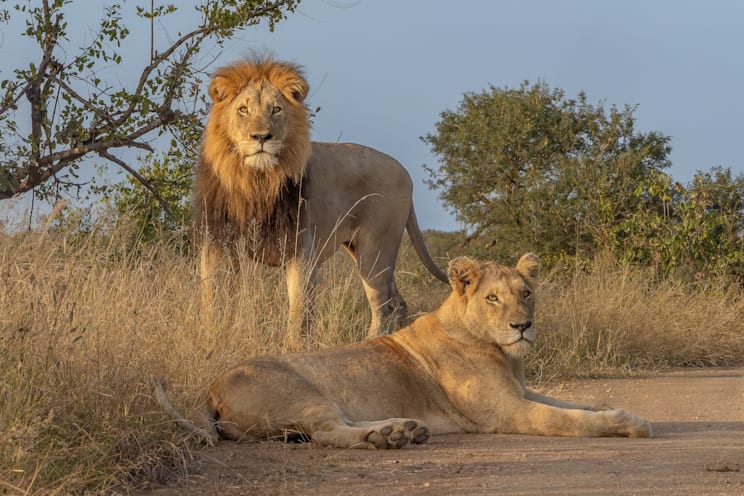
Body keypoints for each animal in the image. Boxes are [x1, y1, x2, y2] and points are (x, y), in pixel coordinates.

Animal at [154, 254, 652, 449]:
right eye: (493, 298)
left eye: (526, 293)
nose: (522, 326)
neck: (503, 353)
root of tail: (209, 390)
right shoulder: (507, 412)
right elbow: (568, 419)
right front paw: (629, 421)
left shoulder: (522, 393)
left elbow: (571, 402)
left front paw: (605, 404)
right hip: (303, 392)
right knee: (327, 432)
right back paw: (388, 437)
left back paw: (402, 429)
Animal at [193, 57, 447, 348]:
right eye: (243, 109)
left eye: (276, 109)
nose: (261, 137)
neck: (257, 181)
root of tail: (405, 172)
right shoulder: (217, 243)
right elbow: (212, 300)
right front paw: (210, 341)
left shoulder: (301, 250)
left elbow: (299, 311)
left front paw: (293, 350)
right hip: (365, 251)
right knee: (398, 304)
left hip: (376, 251)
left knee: (383, 307)